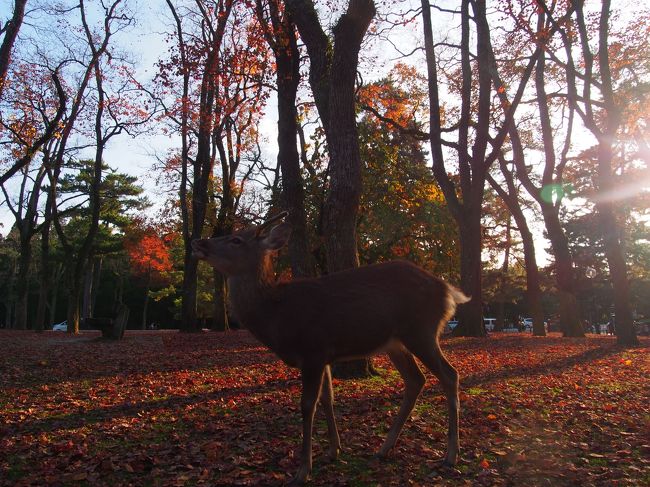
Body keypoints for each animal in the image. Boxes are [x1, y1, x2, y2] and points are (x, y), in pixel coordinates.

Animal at [190, 212, 468, 486]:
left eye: (237, 239)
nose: (198, 242)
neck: (276, 316)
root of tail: (449, 291)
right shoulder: (324, 355)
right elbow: (328, 399)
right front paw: (334, 451)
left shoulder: (313, 349)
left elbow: (307, 404)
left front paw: (303, 470)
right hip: (396, 343)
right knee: (416, 380)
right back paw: (384, 449)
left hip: (421, 332)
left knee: (449, 374)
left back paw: (450, 455)